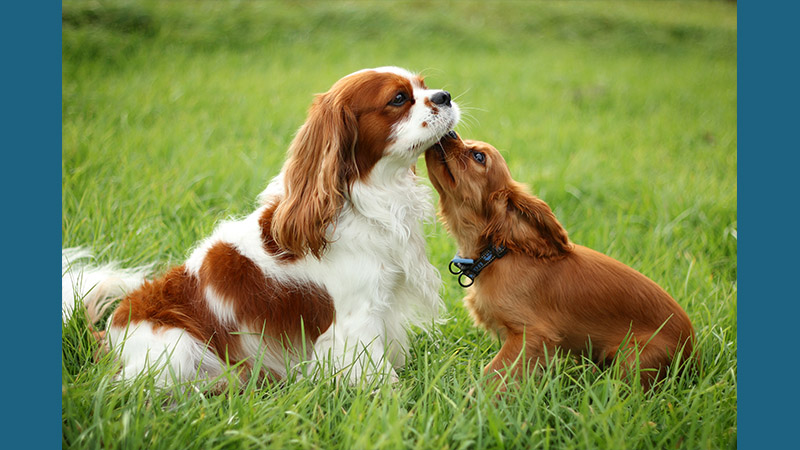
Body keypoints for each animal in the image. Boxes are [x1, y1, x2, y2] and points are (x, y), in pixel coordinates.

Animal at [424, 132, 692, 388]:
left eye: (479, 156)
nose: (449, 132)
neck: (498, 253)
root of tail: (694, 355)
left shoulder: (530, 335)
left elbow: (492, 375)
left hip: (635, 357)